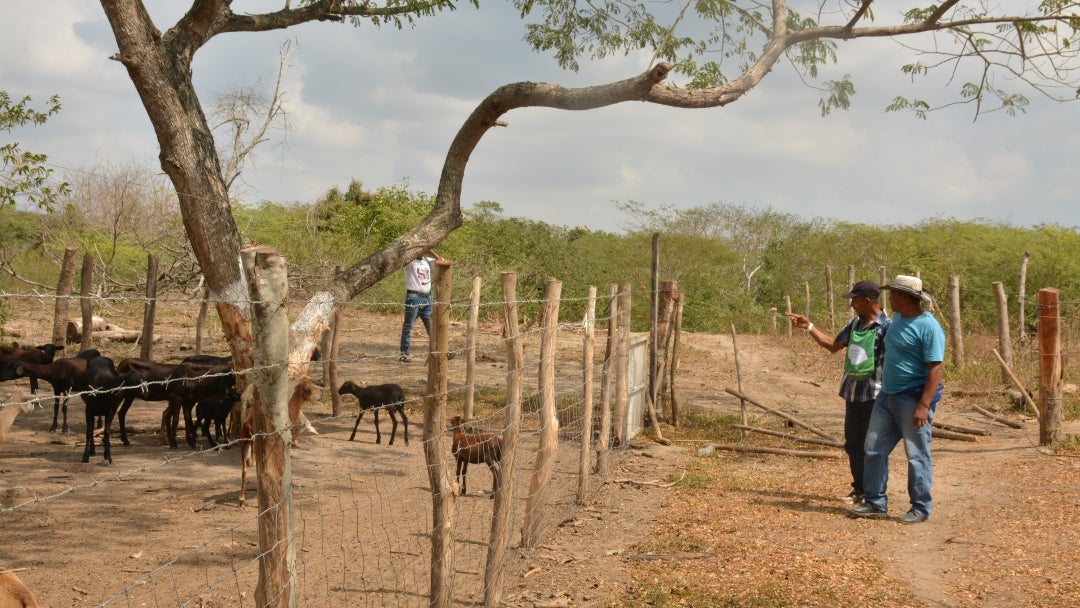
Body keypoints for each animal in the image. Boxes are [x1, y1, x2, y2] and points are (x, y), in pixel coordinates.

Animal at [239, 377, 315, 507]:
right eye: (309, 386)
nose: (319, 395)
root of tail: (247, 422)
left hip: (245, 441)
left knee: (245, 470)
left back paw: (242, 500)